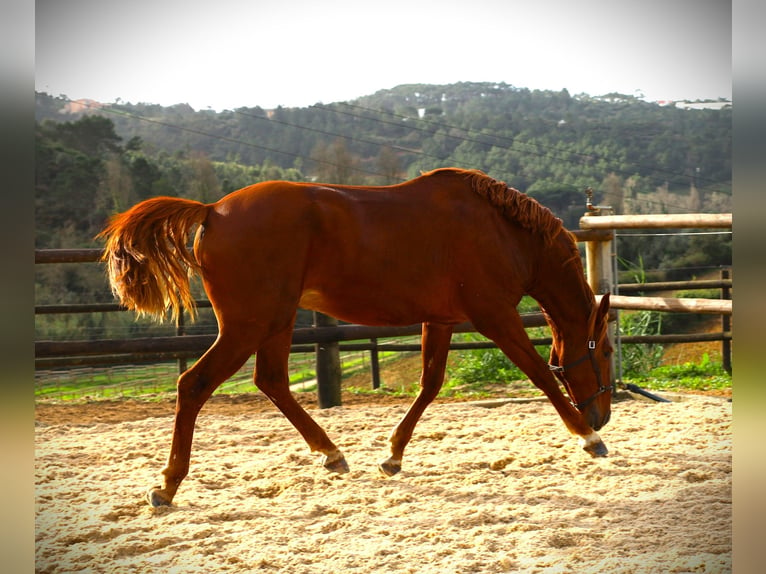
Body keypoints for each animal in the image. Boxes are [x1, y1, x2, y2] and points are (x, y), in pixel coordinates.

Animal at [99, 168, 616, 508]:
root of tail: (213, 211)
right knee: (195, 384)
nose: (604, 414)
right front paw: (587, 438)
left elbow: (430, 385)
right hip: (248, 324)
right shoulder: (495, 316)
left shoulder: (441, 320)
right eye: (607, 349)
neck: (501, 231)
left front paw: (392, 457)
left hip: (276, 321)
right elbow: (540, 375)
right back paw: (167, 486)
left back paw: (331, 454)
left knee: (272, 382)